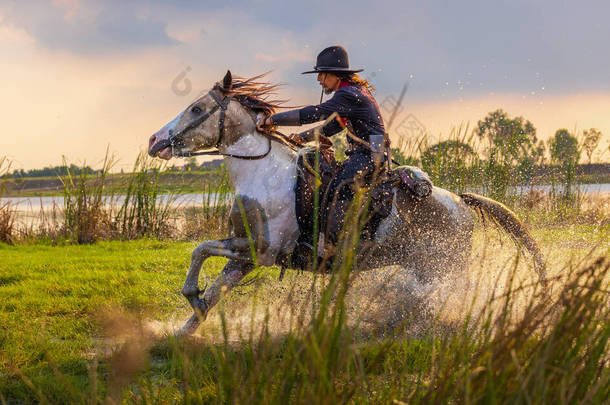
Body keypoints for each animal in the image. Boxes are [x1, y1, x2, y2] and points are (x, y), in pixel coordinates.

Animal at [146, 72, 540, 334]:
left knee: (450, 294)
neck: (263, 173)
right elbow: (211, 283)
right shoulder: (245, 253)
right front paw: (185, 325)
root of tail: (460, 202)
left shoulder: (264, 249)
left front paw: (191, 297)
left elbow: (200, 249)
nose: (154, 140)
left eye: (196, 107)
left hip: (445, 265)